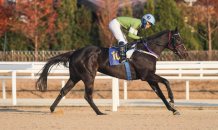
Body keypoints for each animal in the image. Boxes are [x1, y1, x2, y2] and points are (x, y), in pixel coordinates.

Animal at [35, 27, 187, 116]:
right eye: (178, 38)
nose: (185, 54)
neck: (146, 51)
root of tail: (74, 52)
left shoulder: (149, 78)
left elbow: (160, 94)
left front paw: (173, 109)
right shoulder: (147, 75)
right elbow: (166, 81)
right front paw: (172, 100)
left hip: (75, 76)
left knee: (63, 91)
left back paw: (52, 109)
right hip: (88, 76)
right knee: (87, 96)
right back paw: (100, 112)